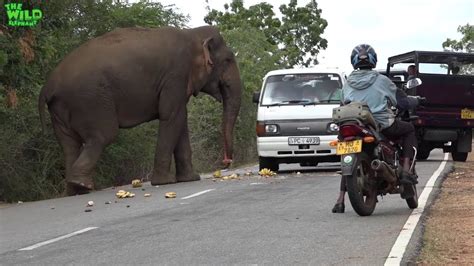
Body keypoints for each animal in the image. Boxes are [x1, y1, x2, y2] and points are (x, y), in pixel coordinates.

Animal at [38, 25, 243, 195]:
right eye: (227, 60)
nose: (226, 162)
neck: (191, 33)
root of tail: (48, 86)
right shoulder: (175, 75)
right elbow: (171, 116)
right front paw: (165, 182)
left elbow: (180, 119)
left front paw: (190, 179)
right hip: (90, 100)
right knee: (103, 135)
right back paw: (82, 185)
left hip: (61, 108)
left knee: (69, 144)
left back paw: (75, 191)